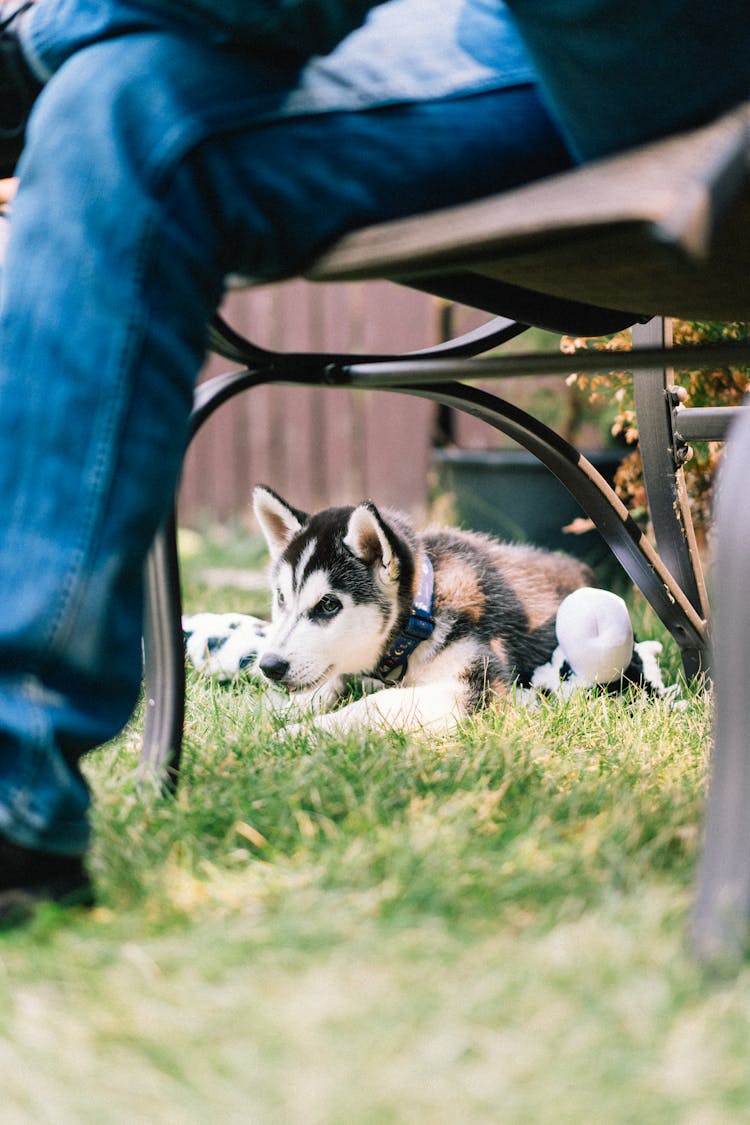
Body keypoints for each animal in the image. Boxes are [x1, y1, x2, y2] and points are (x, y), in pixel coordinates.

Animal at [255, 486, 593, 738]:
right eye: (281, 597)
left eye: (328, 604)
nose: (269, 666)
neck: (421, 616)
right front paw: (272, 713)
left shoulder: (480, 688)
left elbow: (373, 704)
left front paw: (299, 732)